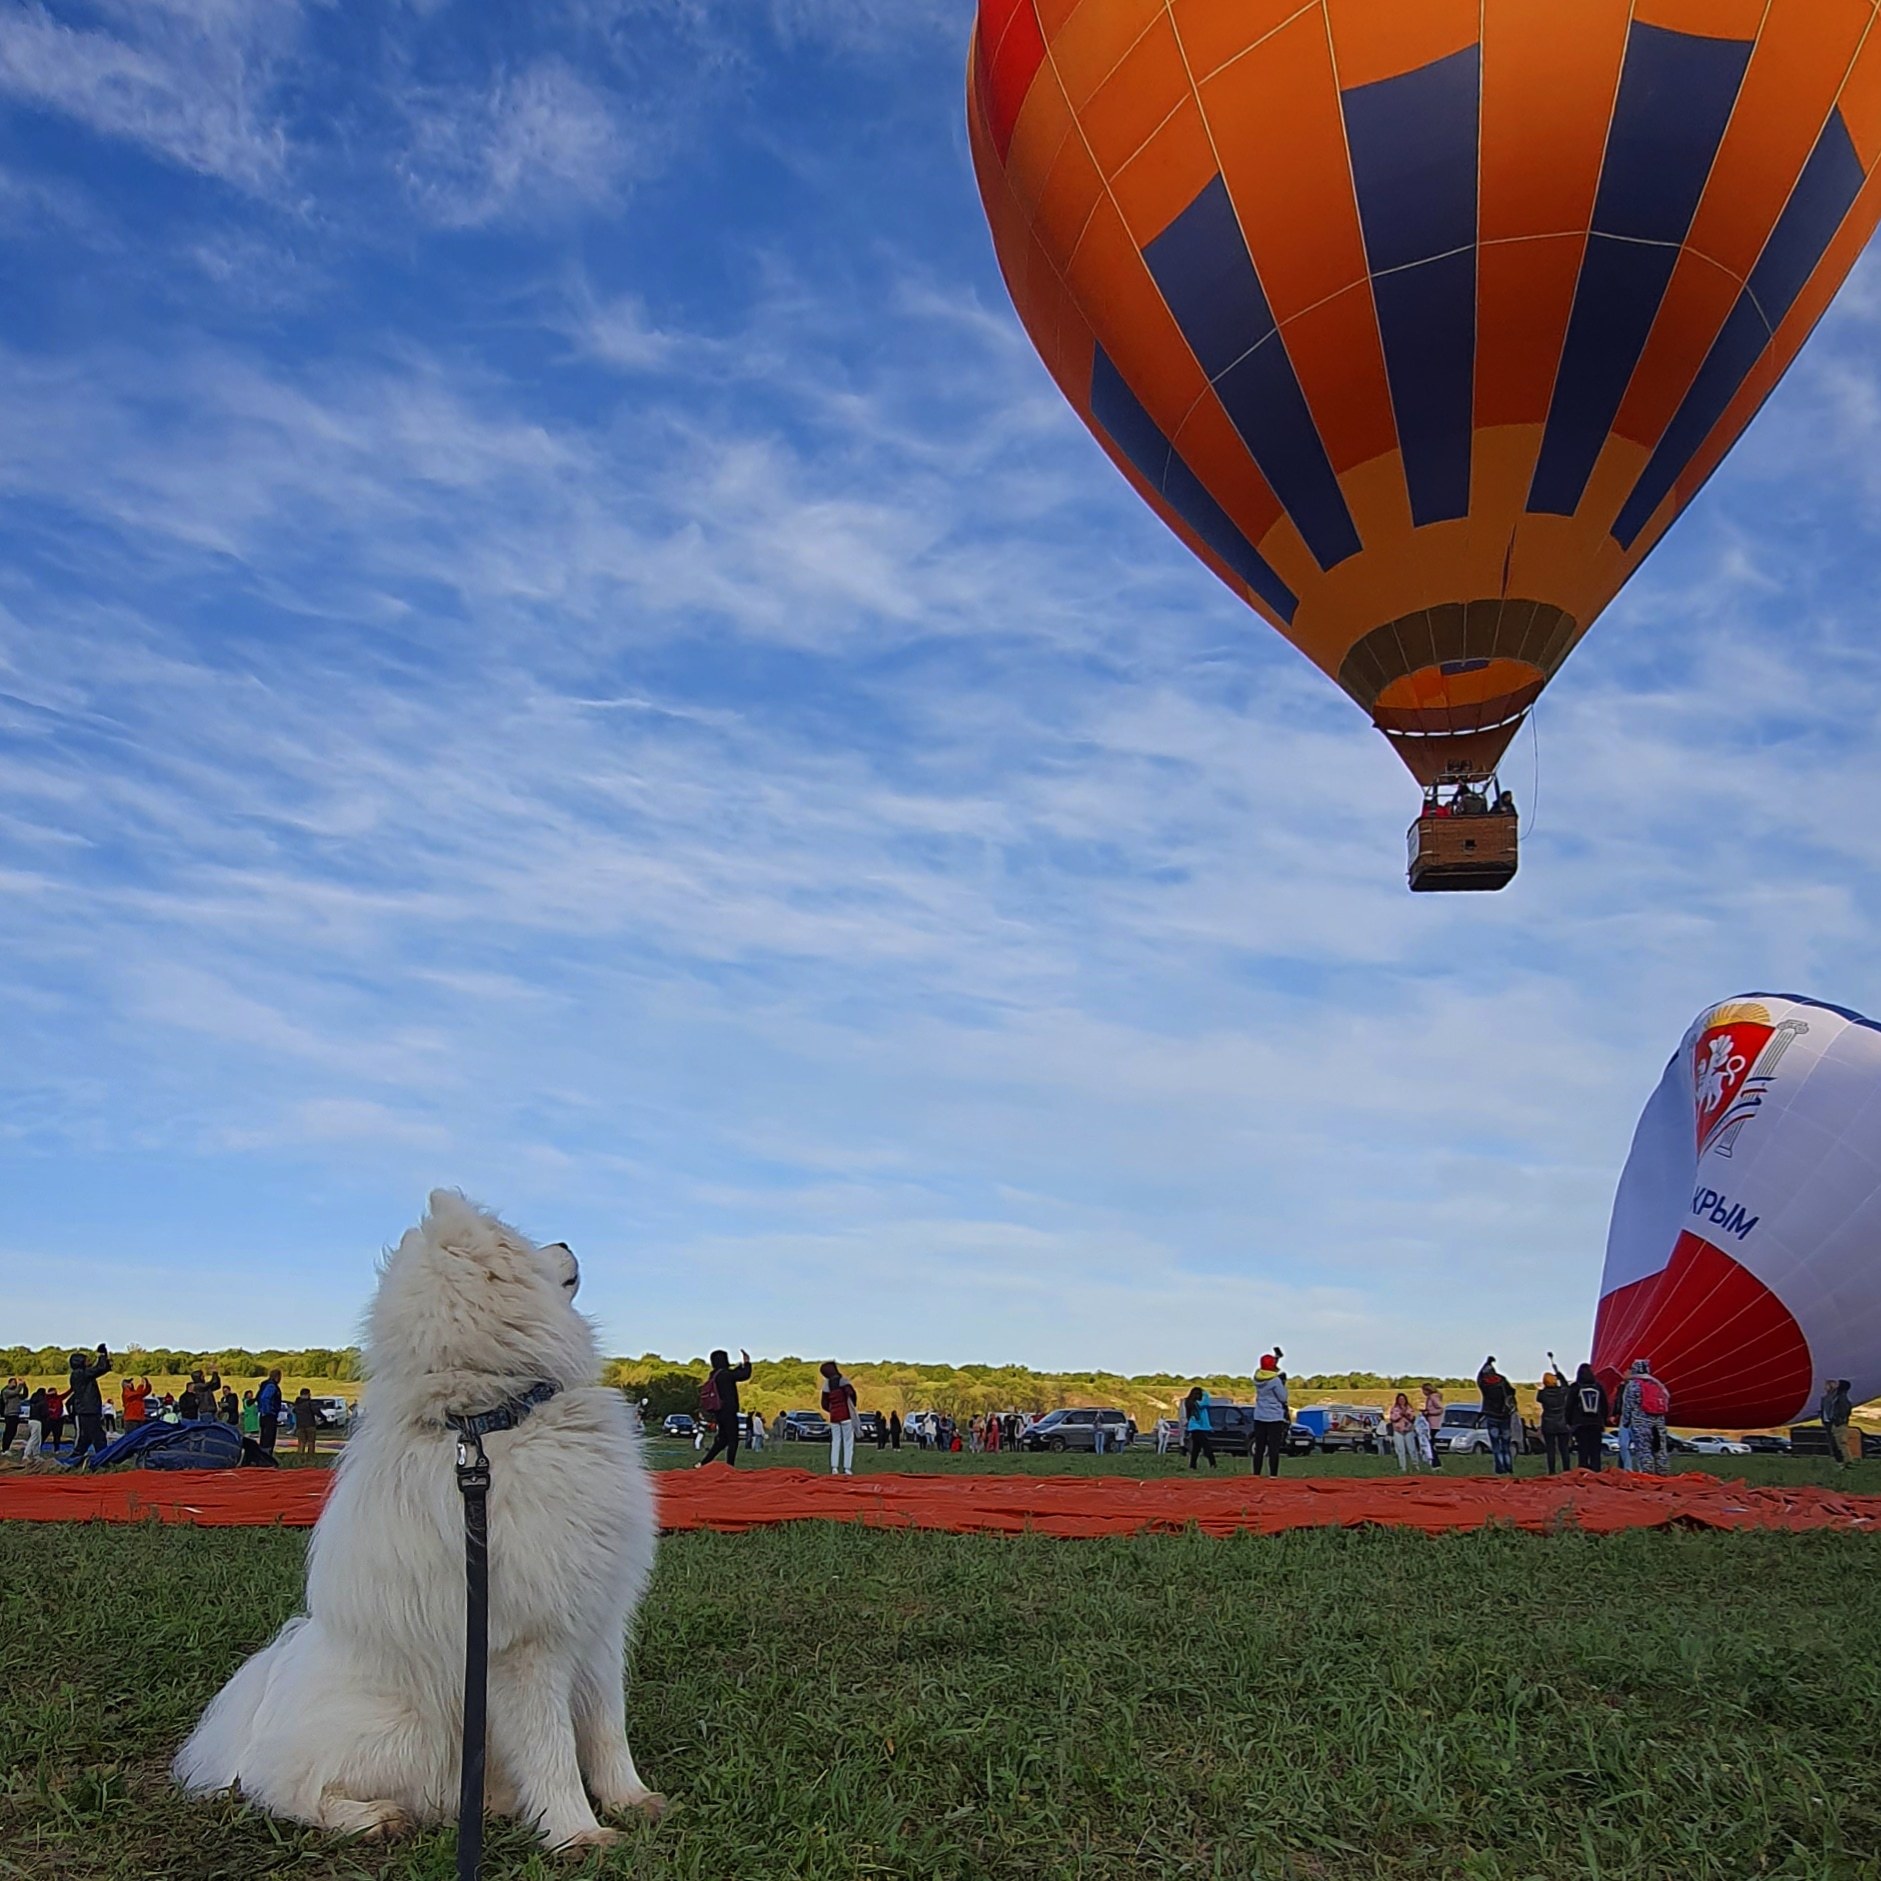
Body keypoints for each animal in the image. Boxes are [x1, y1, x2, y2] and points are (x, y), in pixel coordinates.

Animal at [176, 1188, 662, 1850]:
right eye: (520, 1239)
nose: (567, 1242)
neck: (487, 1420)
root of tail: (246, 1730)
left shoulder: (598, 1624)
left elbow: (607, 1727)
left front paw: (630, 1800)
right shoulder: (525, 1648)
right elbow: (554, 1750)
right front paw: (578, 1834)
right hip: (403, 1729)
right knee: (287, 1790)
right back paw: (376, 1817)